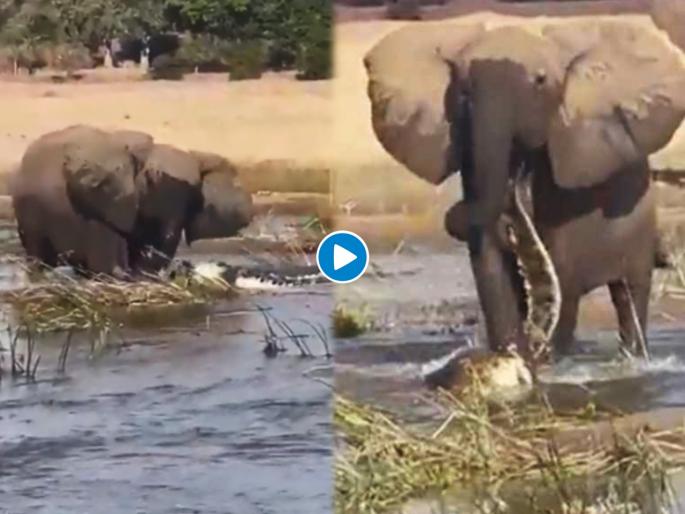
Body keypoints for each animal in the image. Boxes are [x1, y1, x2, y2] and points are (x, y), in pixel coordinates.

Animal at [364, 18, 685, 356]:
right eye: (463, 90)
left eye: (541, 81)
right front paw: (512, 355)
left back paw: (634, 355)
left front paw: (545, 358)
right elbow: (490, 271)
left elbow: (561, 269)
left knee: (629, 293)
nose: (516, 186)